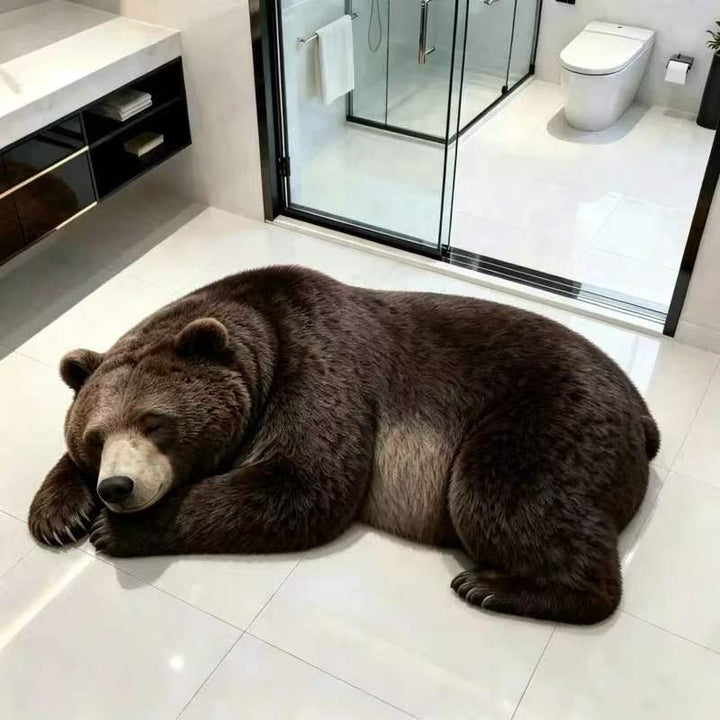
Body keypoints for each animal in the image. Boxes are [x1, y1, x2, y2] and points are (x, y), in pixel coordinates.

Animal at [28, 265, 659, 625]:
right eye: (95, 437)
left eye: (155, 422)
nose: (117, 487)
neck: (258, 332)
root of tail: (643, 412)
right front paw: (57, 515)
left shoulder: (321, 362)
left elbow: (305, 481)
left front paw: (118, 531)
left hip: (549, 414)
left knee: (501, 494)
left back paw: (494, 586)